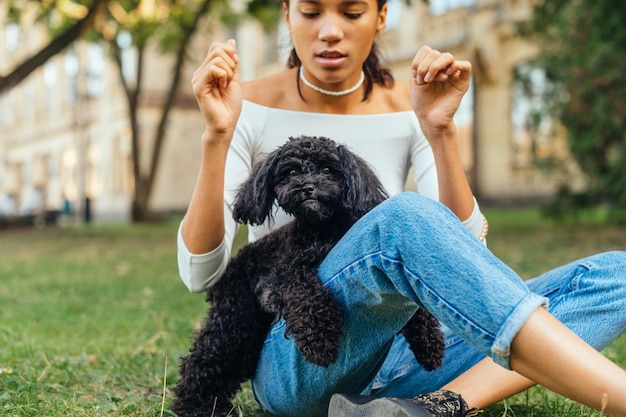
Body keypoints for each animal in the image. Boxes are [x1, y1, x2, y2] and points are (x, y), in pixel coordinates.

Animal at [171, 135, 444, 414]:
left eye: (327, 169)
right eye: (291, 172)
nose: (307, 187)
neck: (322, 229)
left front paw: (429, 343)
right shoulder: (287, 273)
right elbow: (309, 296)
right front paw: (321, 343)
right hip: (232, 322)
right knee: (202, 359)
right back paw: (192, 407)